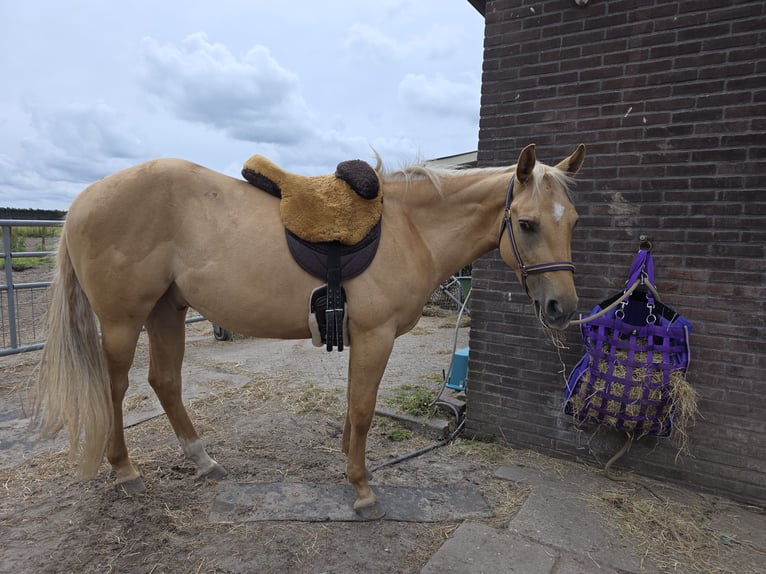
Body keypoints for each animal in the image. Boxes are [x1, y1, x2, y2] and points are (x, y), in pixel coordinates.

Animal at [32, 143, 585, 518]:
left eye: (574, 220)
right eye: (528, 224)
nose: (562, 307)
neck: (410, 228)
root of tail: (83, 200)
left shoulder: (365, 338)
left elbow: (354, 405)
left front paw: (350, 463)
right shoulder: (376, 335)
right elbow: (362, 408)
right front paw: (362, 489)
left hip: (167, 311)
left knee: (164, 382)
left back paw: (204, 461)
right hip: (123, 321)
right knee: (114, 389)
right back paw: (125, 471)